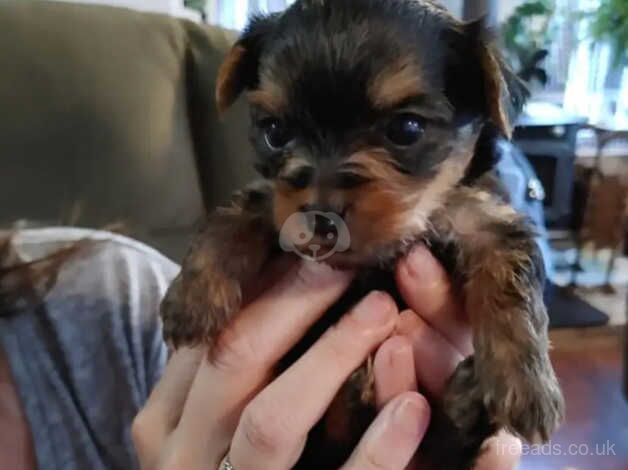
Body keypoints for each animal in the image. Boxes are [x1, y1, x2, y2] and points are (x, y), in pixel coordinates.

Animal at [161, 1, 564, 468]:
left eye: (407, 129)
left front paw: (528, 385)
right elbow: (231, 217)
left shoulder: (483, 218)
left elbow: (513, 277)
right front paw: (192, 298)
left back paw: (464, 406)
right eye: (275, 132)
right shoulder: (274, 201)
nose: (319, 218)